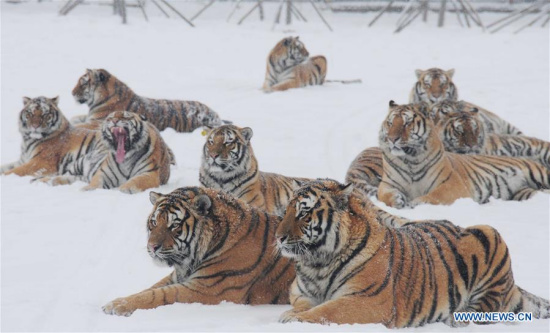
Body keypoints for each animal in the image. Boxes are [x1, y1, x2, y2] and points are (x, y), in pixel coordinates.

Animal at [35, 110, 172, 193]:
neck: (126, 158)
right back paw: (48, 181)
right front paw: (86, 190)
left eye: (126, 116)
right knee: (64, 174)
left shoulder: (149, 173)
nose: (114, 121)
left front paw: (123, 190)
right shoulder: (103, 173)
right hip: (78, 164)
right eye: (110, 117)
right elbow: (95, 183)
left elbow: (134, 182)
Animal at [71, 68, 226, 131]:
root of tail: (217, 116)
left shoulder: (96, 122)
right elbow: (76, 118)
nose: (71, 93)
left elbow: (80, 125)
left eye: (83, 83)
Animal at [101, 185, 296, 316]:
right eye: (154, 222)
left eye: (174, 225)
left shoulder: (206, 289)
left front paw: (116, 305)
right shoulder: (177, 277)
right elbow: (149, 289)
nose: (152, 247)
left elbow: (159, 295)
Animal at [276, 178, 550, 326]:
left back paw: (455, 318)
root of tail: (513, 286)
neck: (317, 262)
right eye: (286, 210)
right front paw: (291, 314)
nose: (278, 238)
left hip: (489, 234)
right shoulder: (302, 293)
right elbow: (305, 306)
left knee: (484, 309)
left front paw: (291, 320)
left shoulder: (368, 300)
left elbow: (328, 310)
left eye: (304, 212)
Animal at [380, 100, 550, 208]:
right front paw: (397, 200)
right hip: (523, 192)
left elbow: (435, 196)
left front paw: (417, 202)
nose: (392, 139)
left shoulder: (452, 185)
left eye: (407, 123)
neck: (409, 160)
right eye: (390, 123)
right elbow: (383, 196)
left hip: (539, 173)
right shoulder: (388, 183)